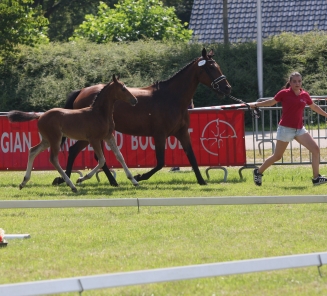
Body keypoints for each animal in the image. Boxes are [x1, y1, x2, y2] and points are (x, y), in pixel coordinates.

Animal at [7, 75, 138, 193]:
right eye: (123, 88)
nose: (135, 100)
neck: (99, 113)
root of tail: (40, 116)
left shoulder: (108, 136)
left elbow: (120, 156)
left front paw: (134, 181)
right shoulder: (94, 139)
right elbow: (101, 160)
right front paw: (82, 178)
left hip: (47, 140)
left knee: (33, 151)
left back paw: (23, 182)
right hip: (55, 139)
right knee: (53, 159)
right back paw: (72, 186)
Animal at [53, 48, 231, 187]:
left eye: (218, 66)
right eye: (210, 67)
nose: (227, 88)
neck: (171, 97)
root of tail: (81, 91)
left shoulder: (182, 132)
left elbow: (192, 156)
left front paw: (202, 181)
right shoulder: (160, 135)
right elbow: (160, 163)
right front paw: (139, 176)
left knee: (77, 151)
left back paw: (69, 179)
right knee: (88, 154)